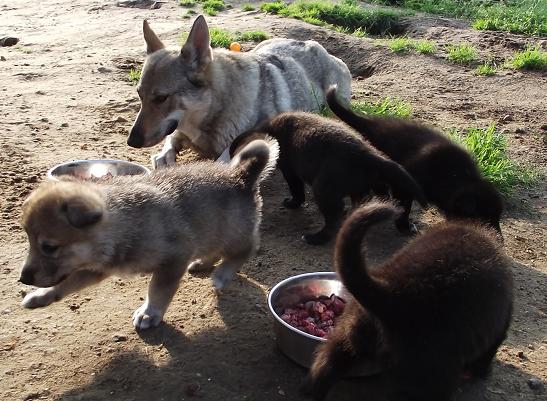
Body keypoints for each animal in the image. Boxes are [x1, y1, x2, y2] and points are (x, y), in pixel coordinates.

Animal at [19, 138, 280, 328]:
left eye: (49, 247)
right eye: (29, 240)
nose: (23, 279)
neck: (123, 225)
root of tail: (242, 176)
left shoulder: (173, 259)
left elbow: (158, 290)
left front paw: (149, 313)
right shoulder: (95, 268)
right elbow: (66, 285)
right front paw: (41, 296)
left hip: (234, 232)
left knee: (244, 250)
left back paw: (222, 275)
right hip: (212, 229)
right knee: (215, 249)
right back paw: (202, 263)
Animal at [127, 14, 352, 166]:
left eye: (161, 98)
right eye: (139, 95)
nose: (131, 141)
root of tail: (313, 43)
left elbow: (223, 159)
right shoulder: (178, 131)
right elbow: (169, 142)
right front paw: (163, 157)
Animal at [229, 111, 426, 244]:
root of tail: (370, 155)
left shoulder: (290, 171)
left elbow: (297, 190)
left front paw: (292, 203)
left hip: (324, 190)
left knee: (334, 218)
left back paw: (315, 238)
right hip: (365, 186)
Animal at [306, 202, 516, 400]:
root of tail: (389, 291)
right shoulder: (500, 326)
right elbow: (488, 352)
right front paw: (483, 371)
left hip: (343, 339)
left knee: (323, 370)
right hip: (432, 375)